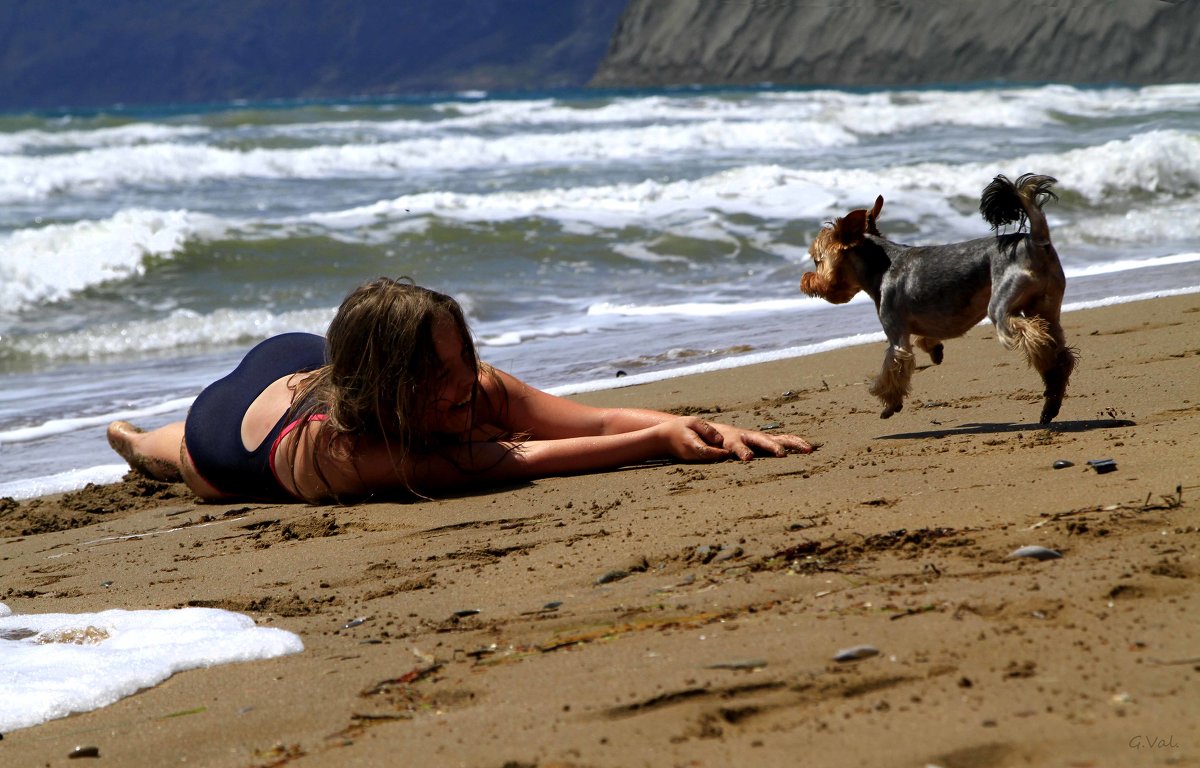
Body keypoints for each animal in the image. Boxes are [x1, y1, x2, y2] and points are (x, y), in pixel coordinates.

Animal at [801, 172, 1075, 422]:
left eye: (817, 261)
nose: (806, 280)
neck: (880, 265)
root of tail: (1035, 241)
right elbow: (925, 338)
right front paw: (935, 350)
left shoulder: (896, 333)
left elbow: (892, 366)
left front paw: (889, 402)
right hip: (1047, 304)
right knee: (1059, 348)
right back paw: (1051, 399)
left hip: (1002, 304)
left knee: (1031, 334)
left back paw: (1047, 368)